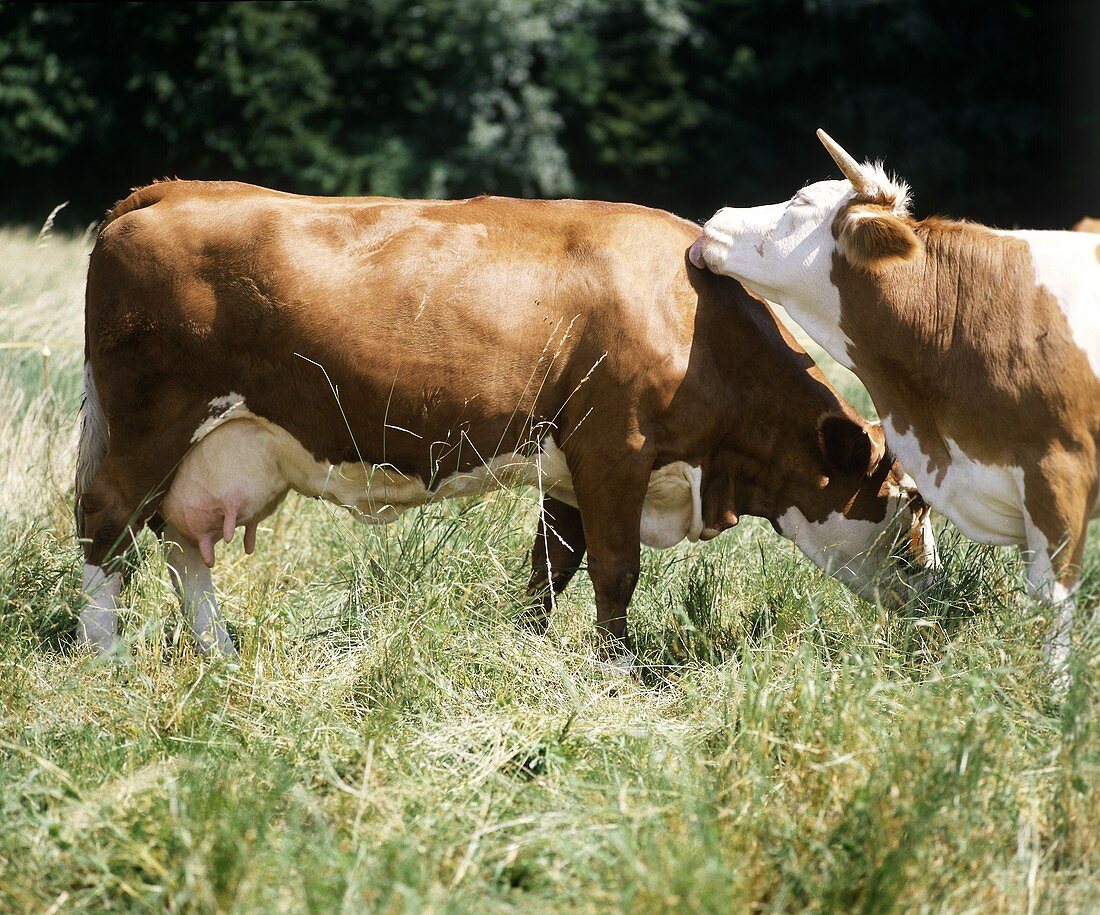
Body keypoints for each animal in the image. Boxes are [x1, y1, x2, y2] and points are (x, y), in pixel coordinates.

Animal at [77, 180, 937, 664]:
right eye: (908, 502)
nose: (938, 589)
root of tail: (165, 190)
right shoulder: (613, 450)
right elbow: (615, 570)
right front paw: (617, 669)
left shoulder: (570, 467)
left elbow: (550, 568)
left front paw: (529, 646)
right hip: (150, 425)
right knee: (108, 524)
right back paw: (103, 653)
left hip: (212, 448)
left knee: (182, 543)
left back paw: (217, 650)